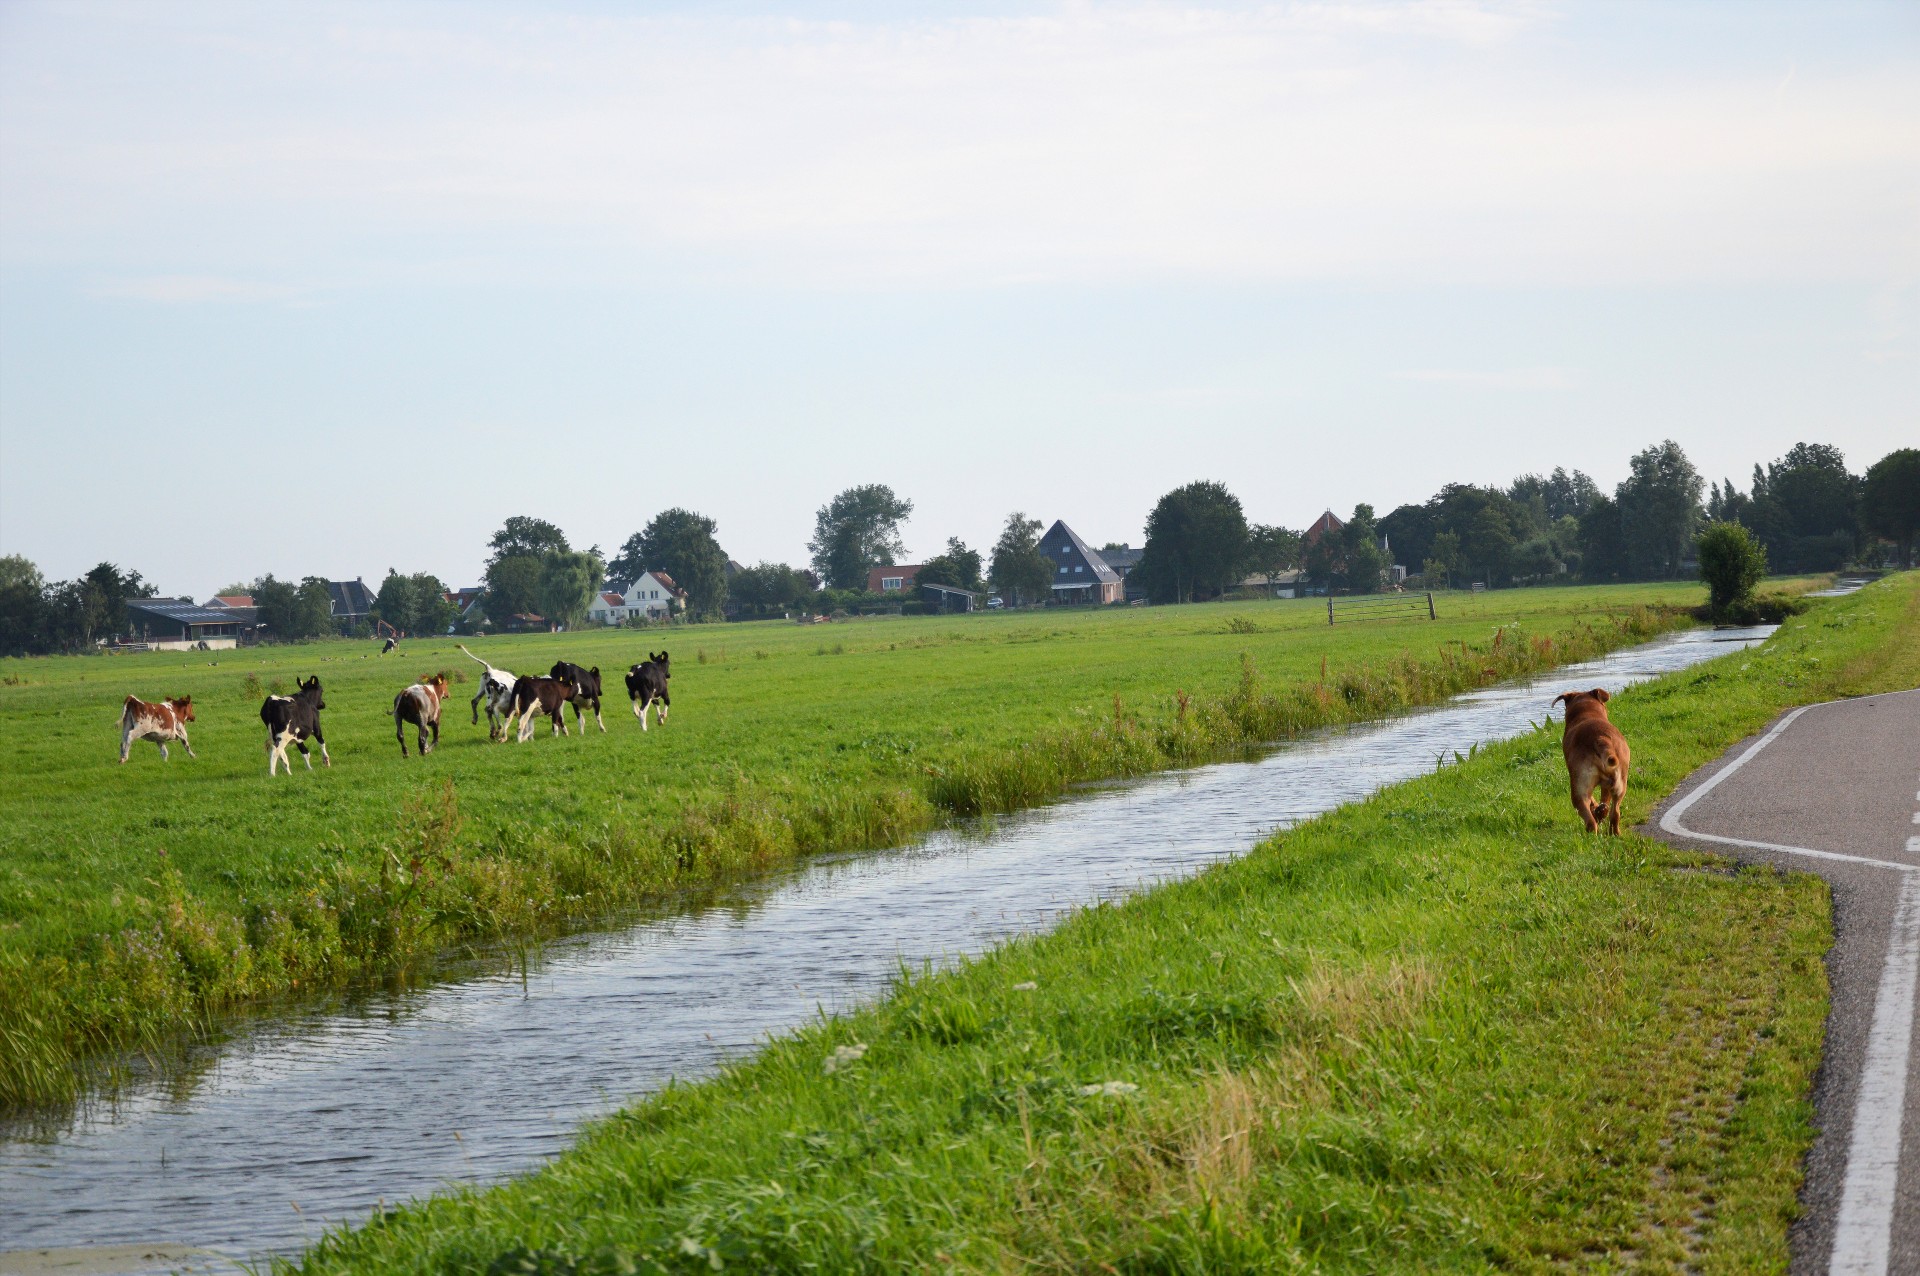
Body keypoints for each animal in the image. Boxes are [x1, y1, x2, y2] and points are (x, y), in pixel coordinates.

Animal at [1551, 686, 1628, 836]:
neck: (1588, 712)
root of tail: (1600, 739)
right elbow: (1605, 798)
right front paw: (1601, 810)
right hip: (1620, 783)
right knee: (1615, 812)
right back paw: (1613, 830)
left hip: (1579, 787)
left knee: (1589, 817)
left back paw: (1591, 832)